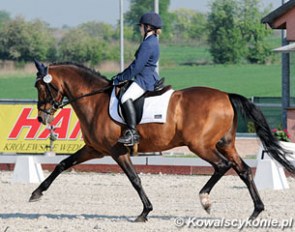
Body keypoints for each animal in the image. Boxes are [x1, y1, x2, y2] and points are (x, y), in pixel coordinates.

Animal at [30, 60, 295, 223]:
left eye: (40, 87)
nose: (42, 117)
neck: (95, 101)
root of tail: (226, 96)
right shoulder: (94, 149)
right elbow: (62, 164)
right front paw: (36, 193)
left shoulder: (117, 151)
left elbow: (135, 179)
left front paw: (144, 212)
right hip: (225, 144)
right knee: (244, 170)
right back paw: (256, 211)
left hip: (200, 145)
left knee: (222, 166)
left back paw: (205, 200)